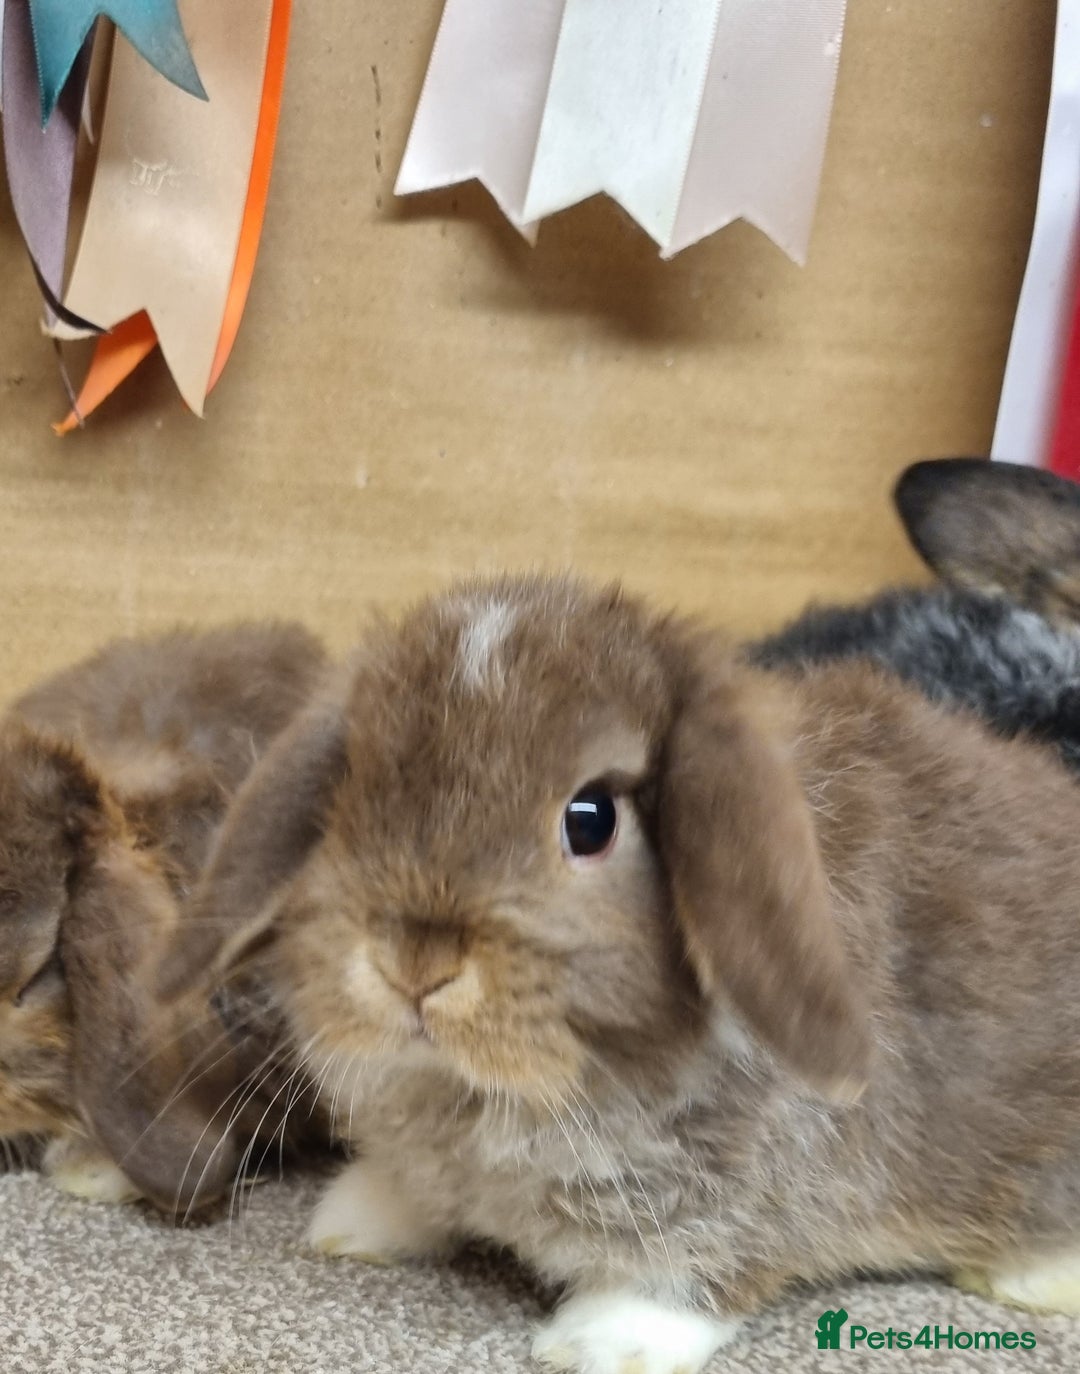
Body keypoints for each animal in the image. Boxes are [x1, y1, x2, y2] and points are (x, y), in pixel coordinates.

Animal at [157, 567, 1080, 1374]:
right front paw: (355, 1222)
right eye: (349, 793)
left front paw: (601, 1342)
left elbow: (691, 1267)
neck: (500, 1090)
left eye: (591, 817)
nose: (414, 964)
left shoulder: (742, 1185)